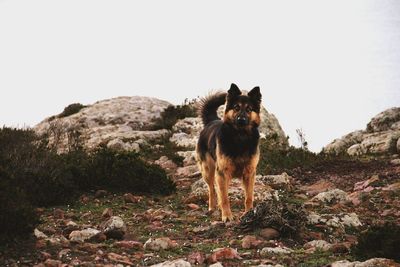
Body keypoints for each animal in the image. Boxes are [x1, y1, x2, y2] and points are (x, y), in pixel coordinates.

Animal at [197, 85, 262, 223]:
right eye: (236, 107)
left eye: (249, 109)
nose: (241, 120)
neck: (240, 137)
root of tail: (212, 121)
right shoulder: (222, 172)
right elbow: (224, 198)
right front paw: (227, 216)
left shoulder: (249, 173)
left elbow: (249, 197)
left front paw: (248, 214)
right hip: (208, 171)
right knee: (212, 189)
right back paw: (212, 208)